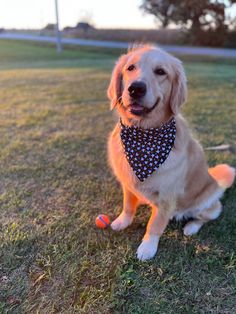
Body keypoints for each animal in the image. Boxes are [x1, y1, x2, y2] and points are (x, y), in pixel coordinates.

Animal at [106, 44, 234, 260]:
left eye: (160, 72)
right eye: (130, 68)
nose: (136, 88)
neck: (144, 136)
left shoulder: (167, 196)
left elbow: (155, 224)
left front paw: (148, 247)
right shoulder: (128, 184)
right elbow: (128, 205)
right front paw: (122, 221)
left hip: (207, 204)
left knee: (207, 216)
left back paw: (191, 227)